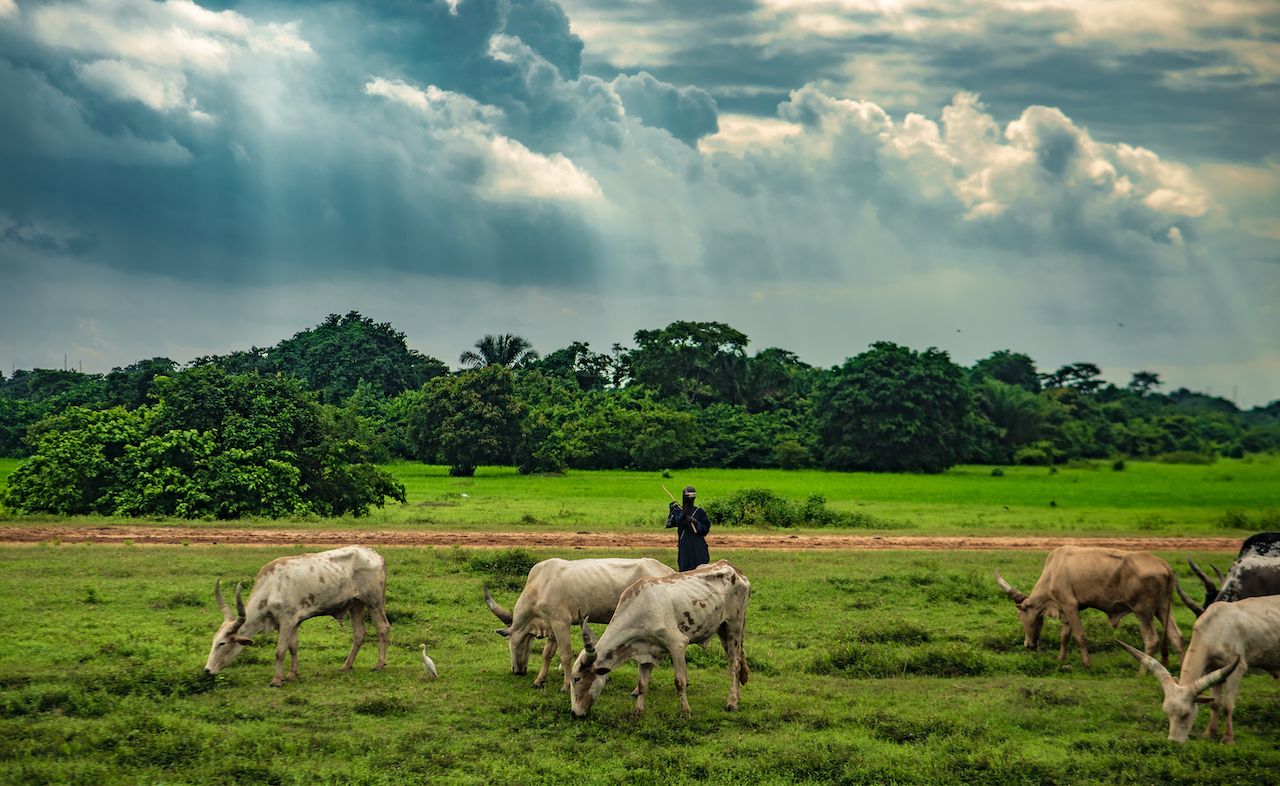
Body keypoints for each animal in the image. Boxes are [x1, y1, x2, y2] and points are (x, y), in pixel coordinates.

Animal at [204, 547, 389, 691]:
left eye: (222, 643)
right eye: (214, 641)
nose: (207, 670)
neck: (271, 587)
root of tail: (375, 555)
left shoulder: (286, 621)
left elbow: (280, 651)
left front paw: (276, 680)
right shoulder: (293, 622)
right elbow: (293, 647)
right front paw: (292, 674)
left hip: (374, 602)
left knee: (383, 628)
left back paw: (379, 665)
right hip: (356, 605)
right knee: (359, 634)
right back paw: (346, 666)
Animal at [481, 558, 680, 691]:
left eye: (511, 643)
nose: (517, 670)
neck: (539, 585)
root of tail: (667, 570)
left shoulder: (561, 622)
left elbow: (565, 654)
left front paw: (565, 685)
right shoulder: (552, 626)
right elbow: (547, 654)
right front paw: (539, 680)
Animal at [570, 560, 747, 721]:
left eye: (577, 678)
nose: (574, 712)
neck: (640, 609)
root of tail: (735, 570)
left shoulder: (677, 644)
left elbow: (680, 681)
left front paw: (685, 712)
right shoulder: (645, 652)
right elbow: (642, 685)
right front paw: (638, 712)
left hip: (734, 626)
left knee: (735, 663)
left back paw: (732, 702)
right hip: (722, 629)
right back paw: (737, 697)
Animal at [993, 547, 1182, 670]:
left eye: (1020, 616)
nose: (1028, 644)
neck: (1052, 572)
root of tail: (1162, 563)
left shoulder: (1070, 605)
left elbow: (1079, 636)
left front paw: (1086, 663)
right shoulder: (1065, 610)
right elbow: (1064, 636)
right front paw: (1060, 658)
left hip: (1143, 611)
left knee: (1151, 640)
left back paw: (1142, 673)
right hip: (1163, 608)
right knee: (1175, 636)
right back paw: (1181, 671)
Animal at [1116, 596, 1280, 747]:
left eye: (1186, 714)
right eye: (1167, 713)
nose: (1173, 742)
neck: (1214, 630)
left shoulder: (1236, 669)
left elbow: (1227, 706)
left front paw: (1228, 738)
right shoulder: (1212, 669)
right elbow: (1215, 703)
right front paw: (1209, 733)